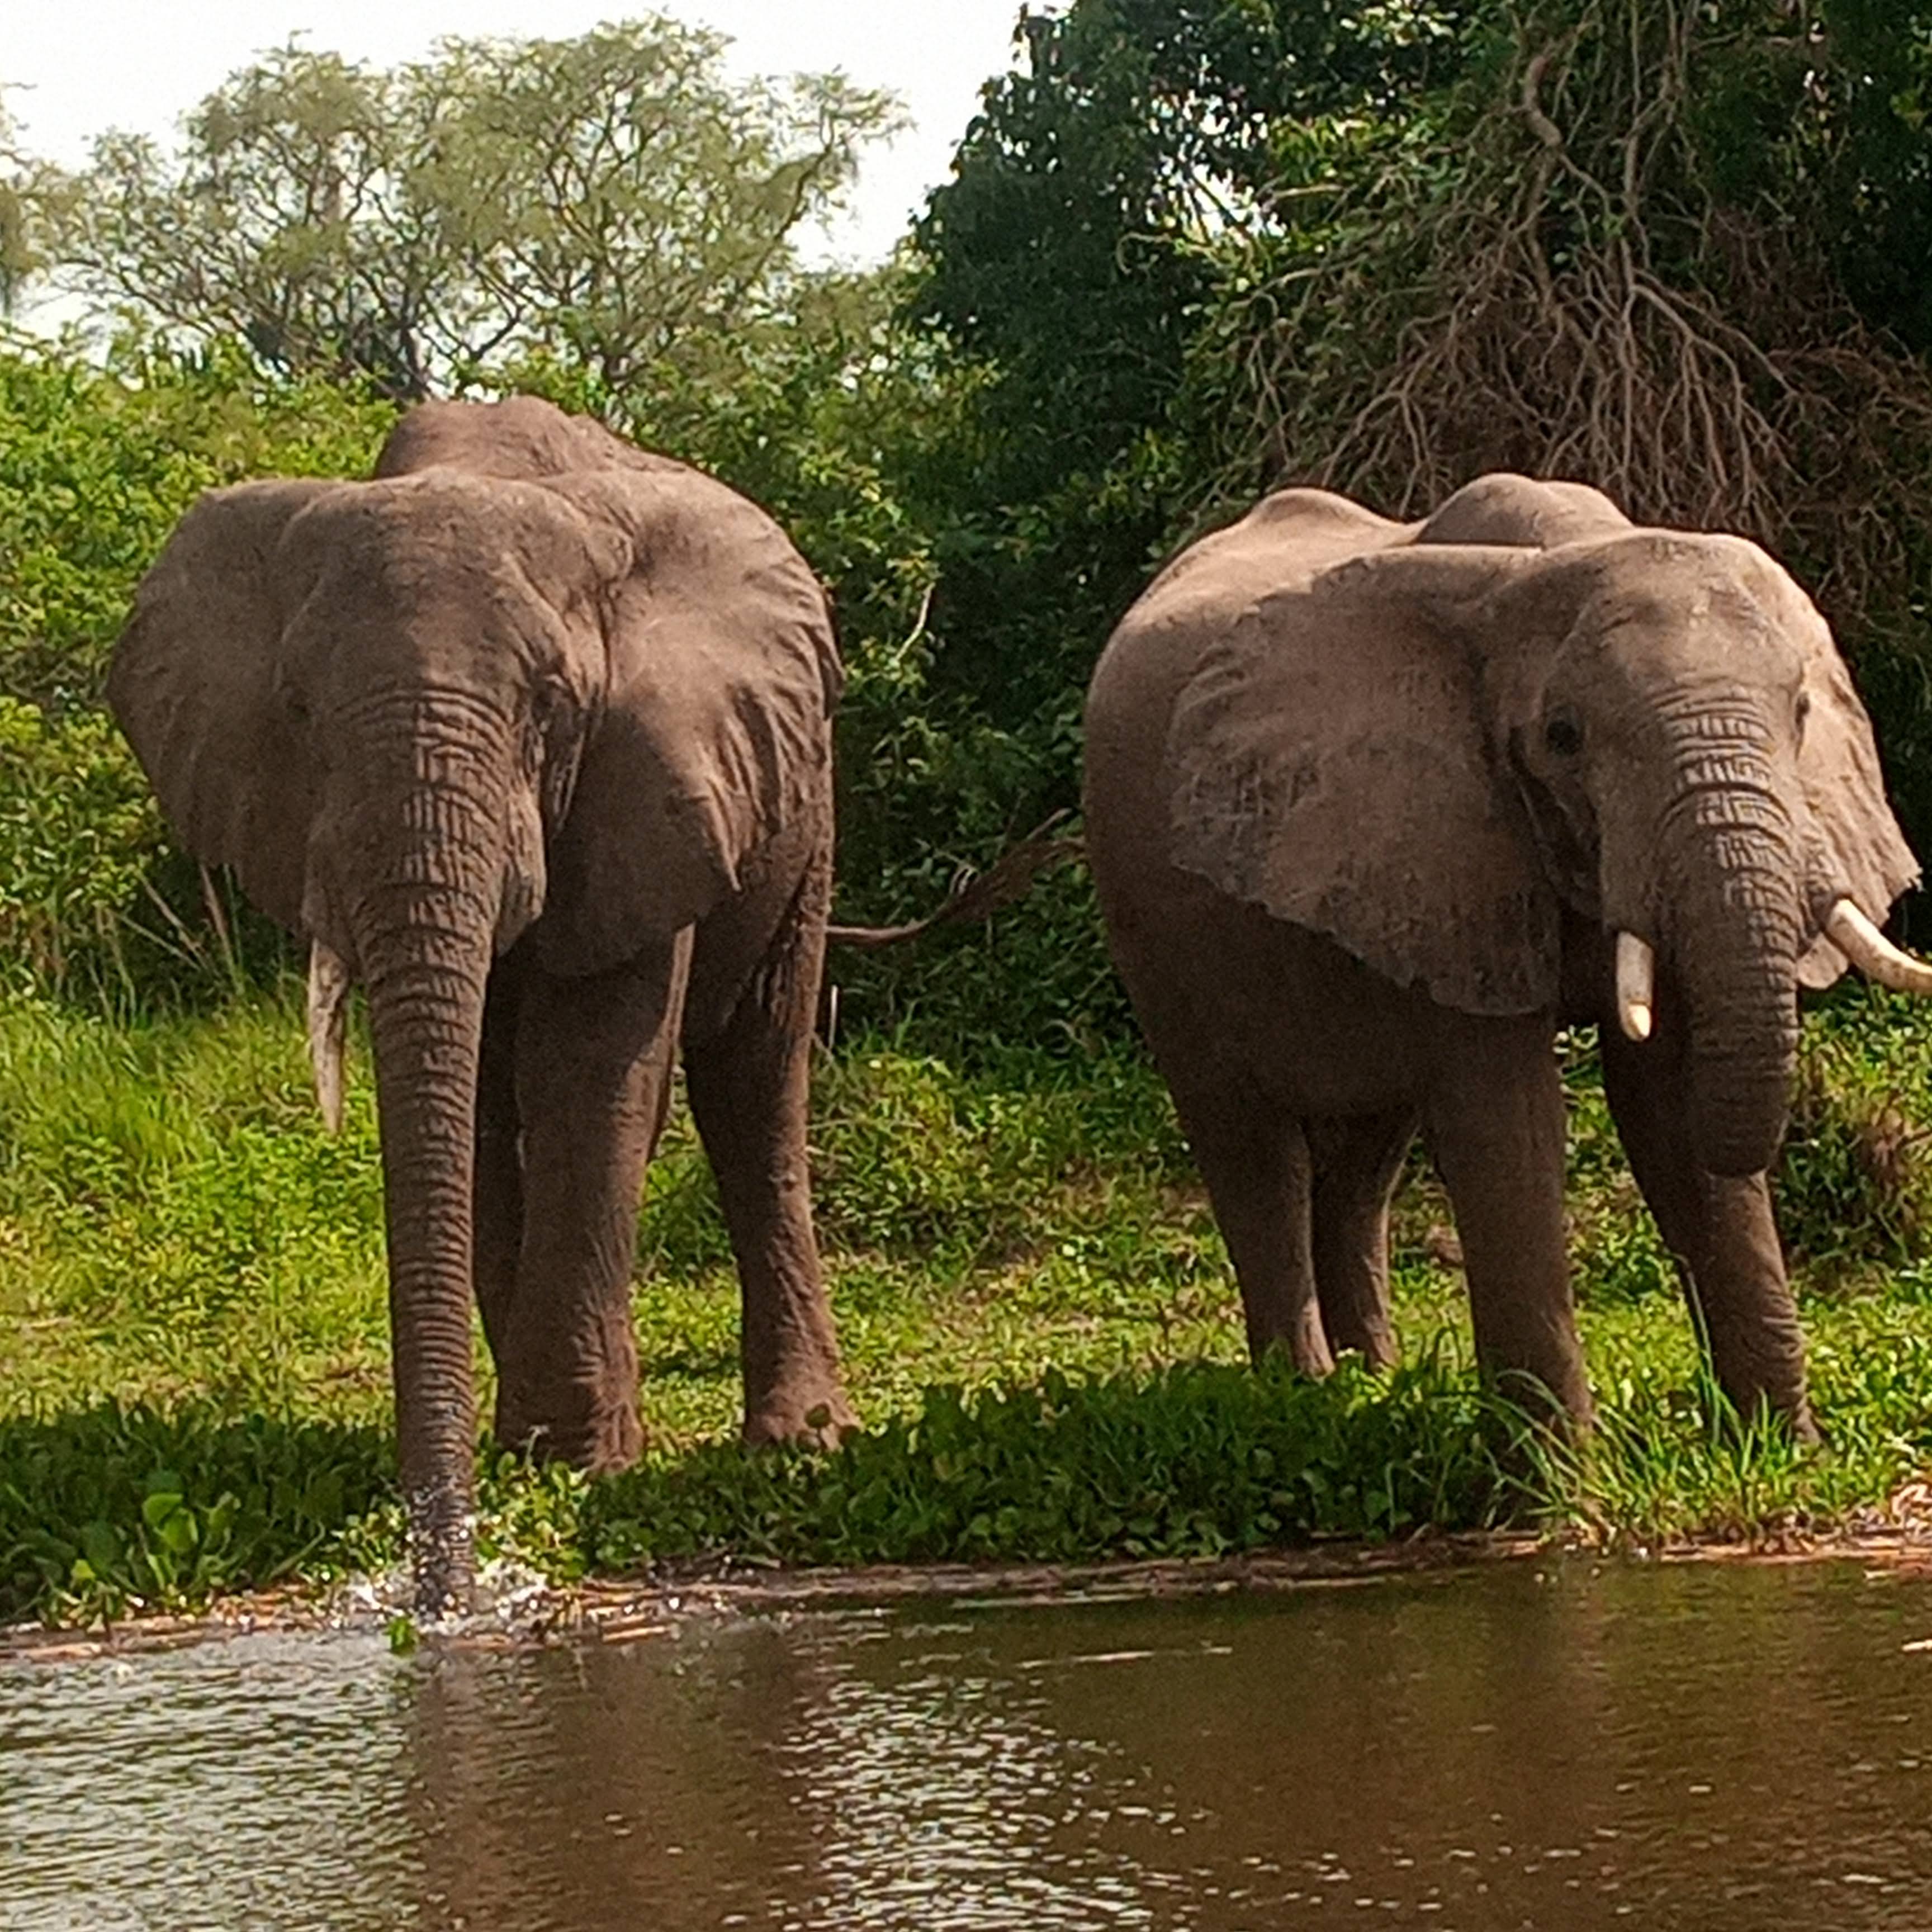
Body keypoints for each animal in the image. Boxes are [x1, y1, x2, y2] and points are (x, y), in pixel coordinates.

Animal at [108, 395, 855, 1610]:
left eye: (553, 707)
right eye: (299, 711)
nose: (442, 1588)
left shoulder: (647, 783)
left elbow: (590, 1070)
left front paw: (577, 1460)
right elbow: (466, 1104)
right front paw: (537, 1455)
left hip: (804, 794)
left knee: (755, 1074)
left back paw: (800, 1443)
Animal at [1083, 472, 1932, 1434]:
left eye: (1800, 713)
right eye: (1563, 736)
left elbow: (1668, 1104)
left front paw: (1776, 1447)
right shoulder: (1440, 844)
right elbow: (1510, 1126)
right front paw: (1557, 1476)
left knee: (1366, 1157)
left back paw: (1372, 1379)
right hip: (1149, 927)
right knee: (1253, 1153)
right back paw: (1298, 1399)